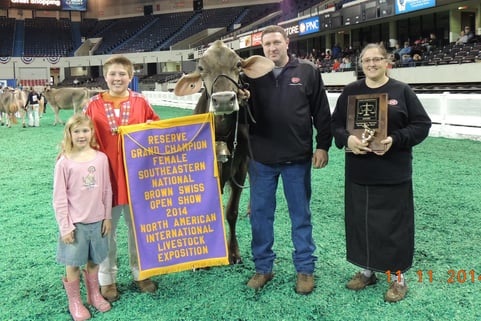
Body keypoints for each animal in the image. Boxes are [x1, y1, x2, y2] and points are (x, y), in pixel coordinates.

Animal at [173, 40, 272, 262]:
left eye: (239, 64)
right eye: (201, 68)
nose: (225, 100)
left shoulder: (240, 166)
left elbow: (231, 211)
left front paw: (233, 252)